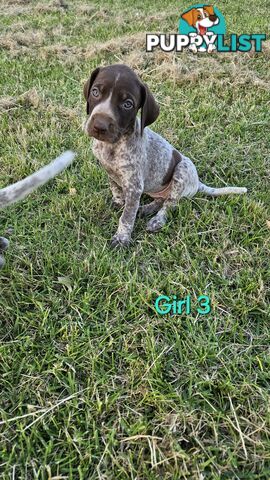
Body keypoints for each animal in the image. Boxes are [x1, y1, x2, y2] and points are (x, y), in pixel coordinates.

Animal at [83, 63, 248, 248]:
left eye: (127, 104)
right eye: (95, 92)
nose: (99, 126)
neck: (112, 146)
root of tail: (197, 184)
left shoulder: (134, 187)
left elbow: (127, 216)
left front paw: (122, 238)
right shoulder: (110, 172)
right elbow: (115, 189)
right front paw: (118, 202)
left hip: (182, 170)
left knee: (171, 203)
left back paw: (157, 220)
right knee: (162, 200)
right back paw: (146, 208)